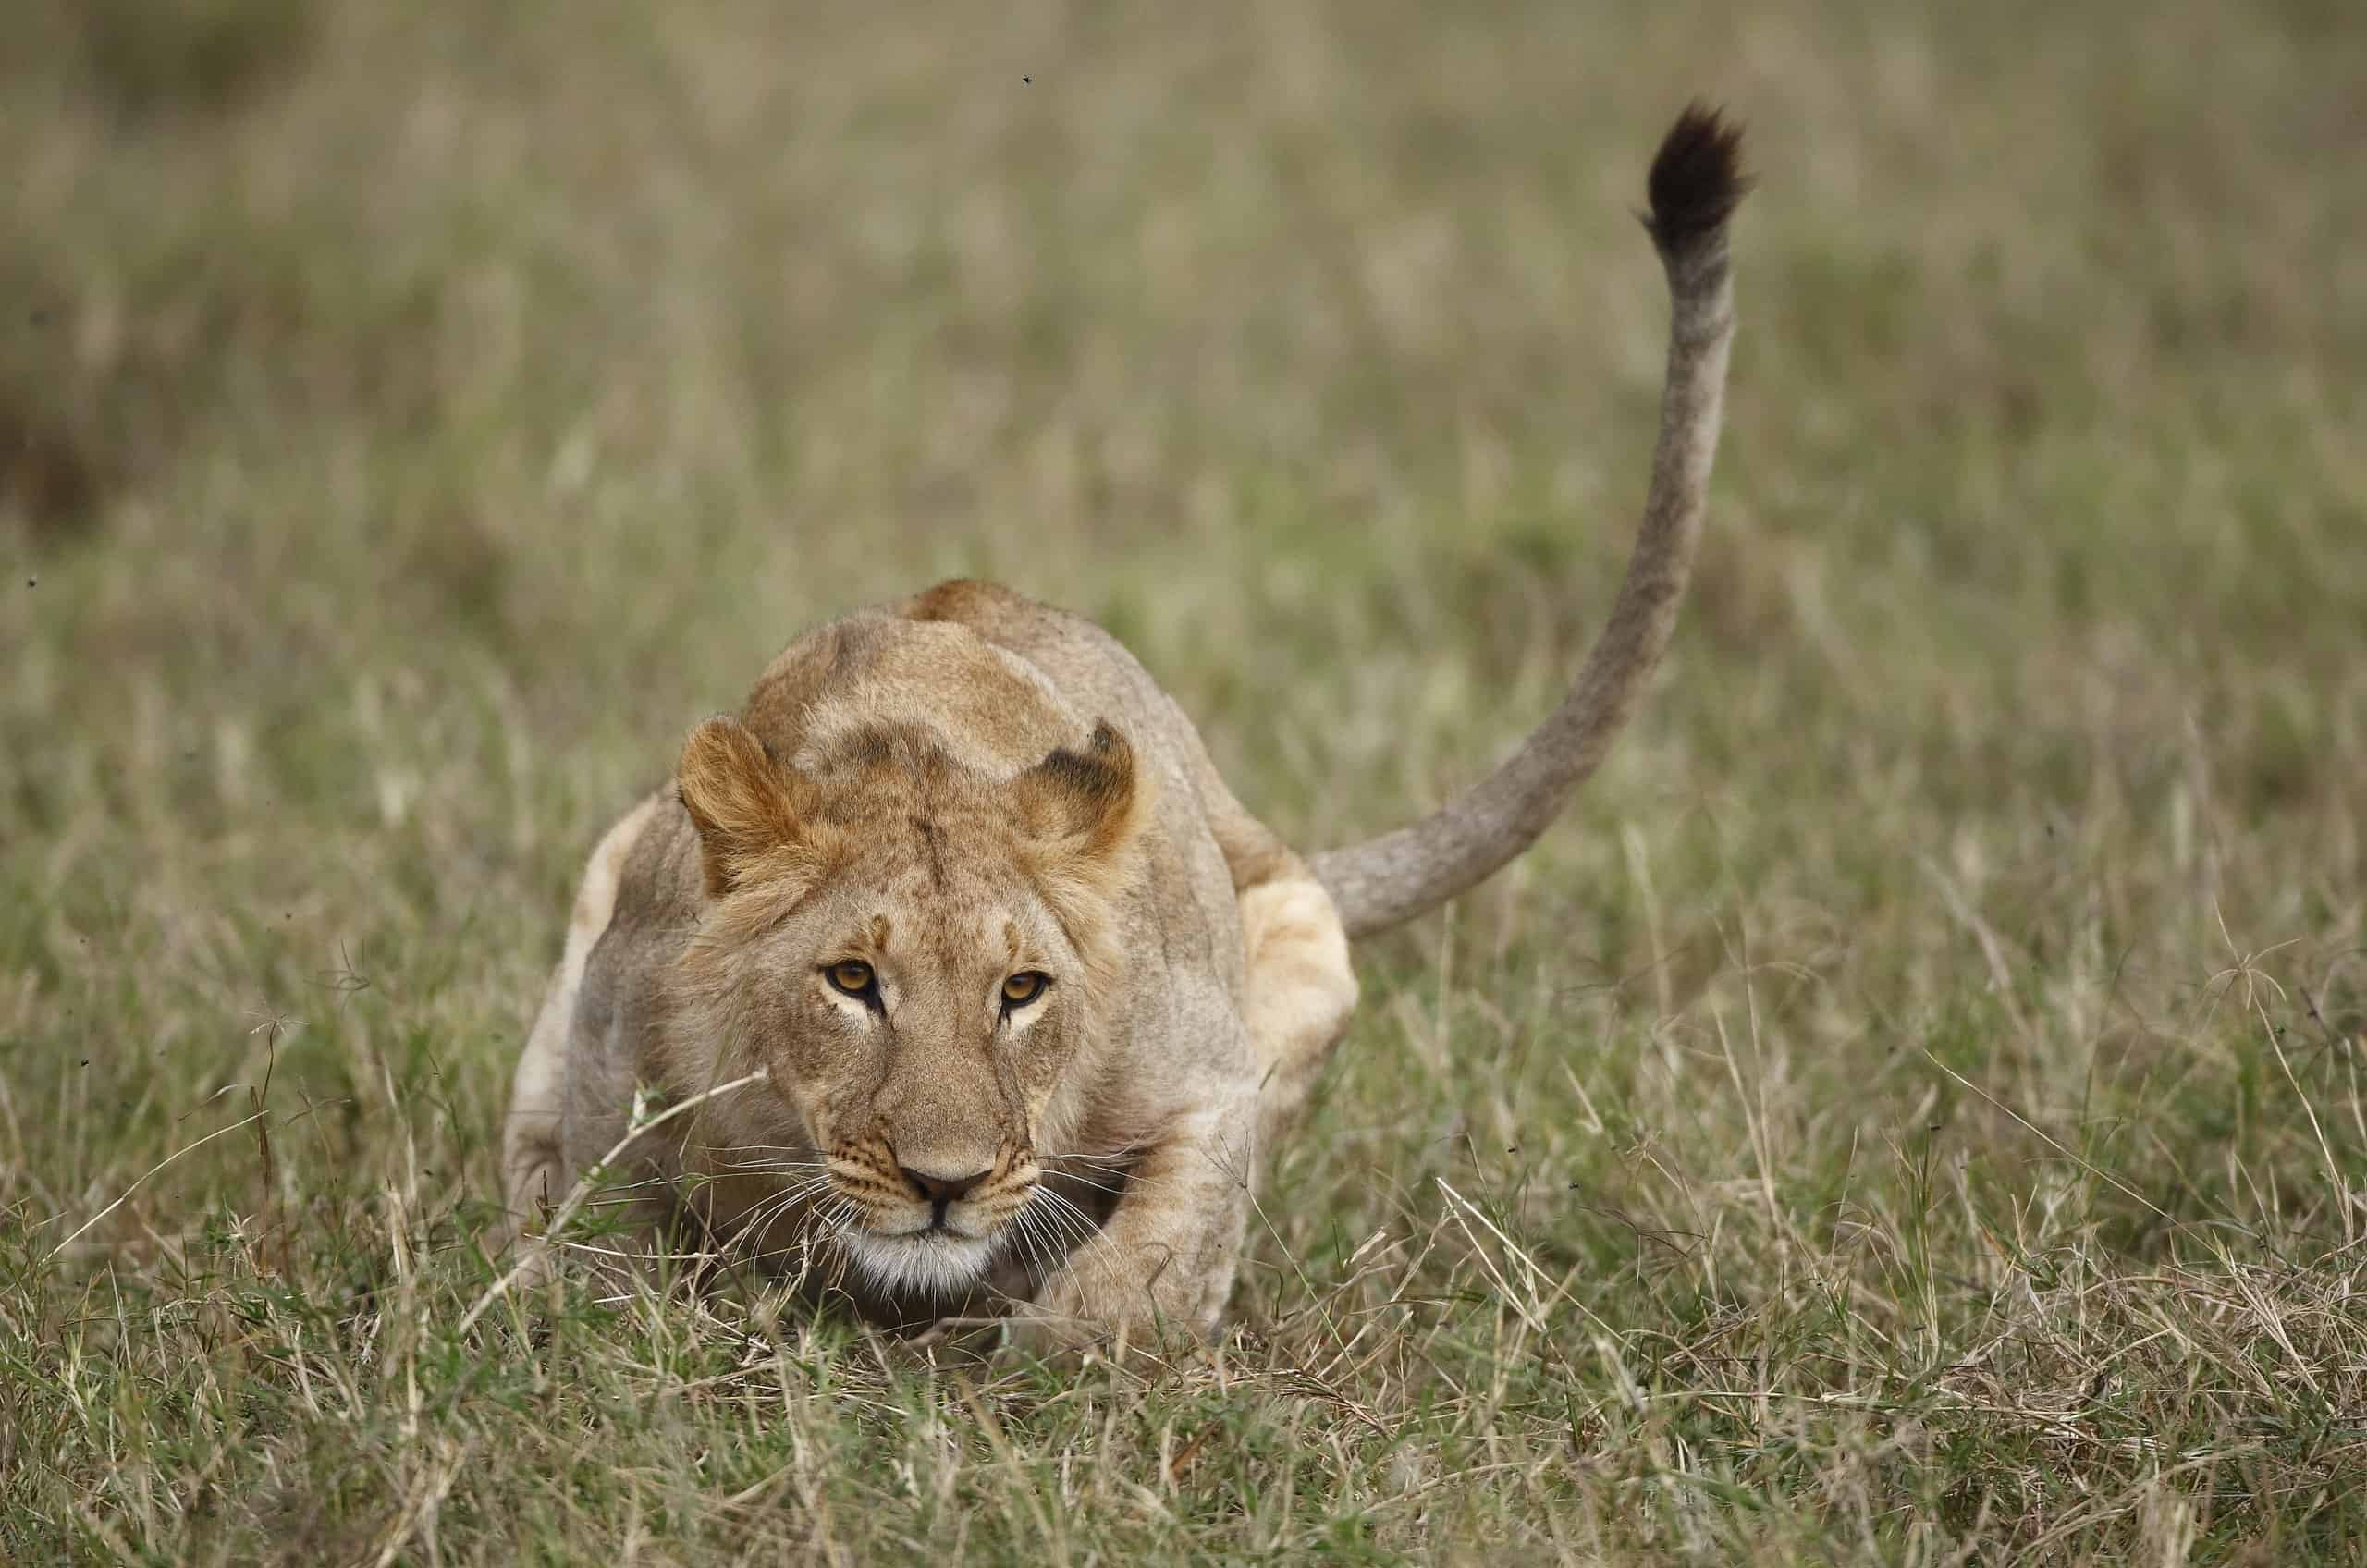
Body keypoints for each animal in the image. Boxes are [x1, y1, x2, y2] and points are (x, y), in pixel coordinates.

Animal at [499, 107, 1751, 1354]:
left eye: (1022, 990)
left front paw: (1057, 1355)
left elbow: (1139, 1274)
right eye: (851, 979)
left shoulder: (1206, 1069)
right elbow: (600, 1238)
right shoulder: (611, 1038)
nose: (945, 1184)